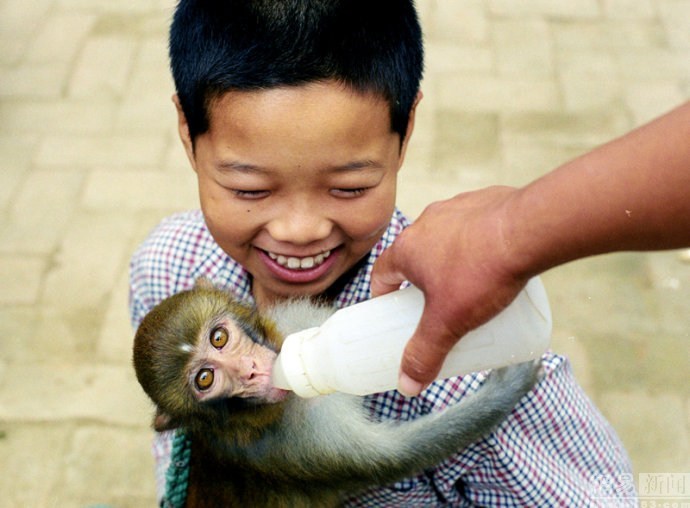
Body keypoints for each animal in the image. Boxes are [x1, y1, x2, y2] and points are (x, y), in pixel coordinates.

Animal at [132, 280, 540, 506]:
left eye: (219, 337)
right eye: (205, 379)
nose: (250, 370)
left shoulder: (297, 324)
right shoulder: (300, 440)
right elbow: (397, 454)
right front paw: (510, 383)